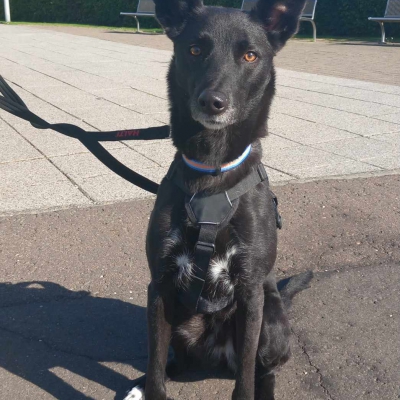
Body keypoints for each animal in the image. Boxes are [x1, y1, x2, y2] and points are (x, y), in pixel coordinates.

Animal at [123, 1, 310, 398]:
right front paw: (149, 387)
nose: (212, 102)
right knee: (172, 362)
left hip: (270, 318)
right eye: (194, 50)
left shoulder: (251, 292)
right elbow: (155, 364)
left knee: (263, 370)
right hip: (179, 319)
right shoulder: (159, 286)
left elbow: (246, 379)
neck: (211, 170)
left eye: (250, 55)